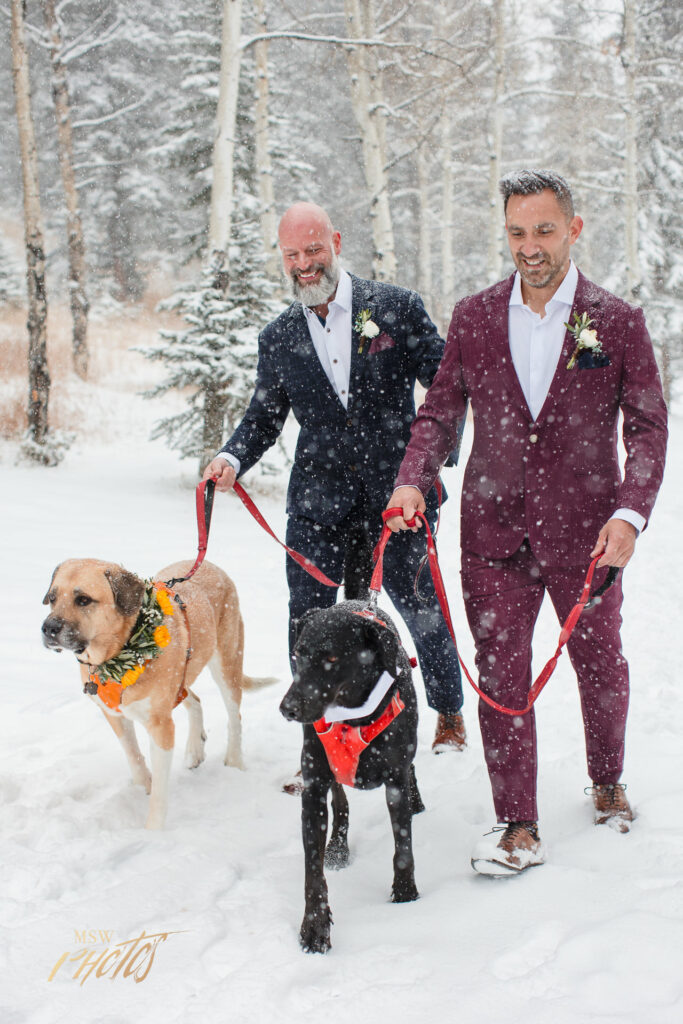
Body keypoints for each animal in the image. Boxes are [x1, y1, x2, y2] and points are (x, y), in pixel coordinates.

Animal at [40, 557, 272, 827]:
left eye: (84, 600)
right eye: (53, 597)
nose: (48, 628)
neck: (120, 652)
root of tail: (212, 566)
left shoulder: (161, 725)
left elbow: (161, 787)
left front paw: (154, 828)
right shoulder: (115, 715)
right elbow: (133, 754)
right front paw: (144, 784)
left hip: (227, 662)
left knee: (234, 715)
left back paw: (234, 761)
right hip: (182, 677)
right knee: (195, 699)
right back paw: (194, 749)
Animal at [278, 598, 421, 950]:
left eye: (332, 658)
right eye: (298, 653)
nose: (288, 708)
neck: (353, 718)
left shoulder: (395, 778)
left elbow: (403, 843)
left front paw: (405, 893)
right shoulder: (314, 787)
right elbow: (312, 869)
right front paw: (315, 926)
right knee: (341, 802)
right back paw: (338, 847)